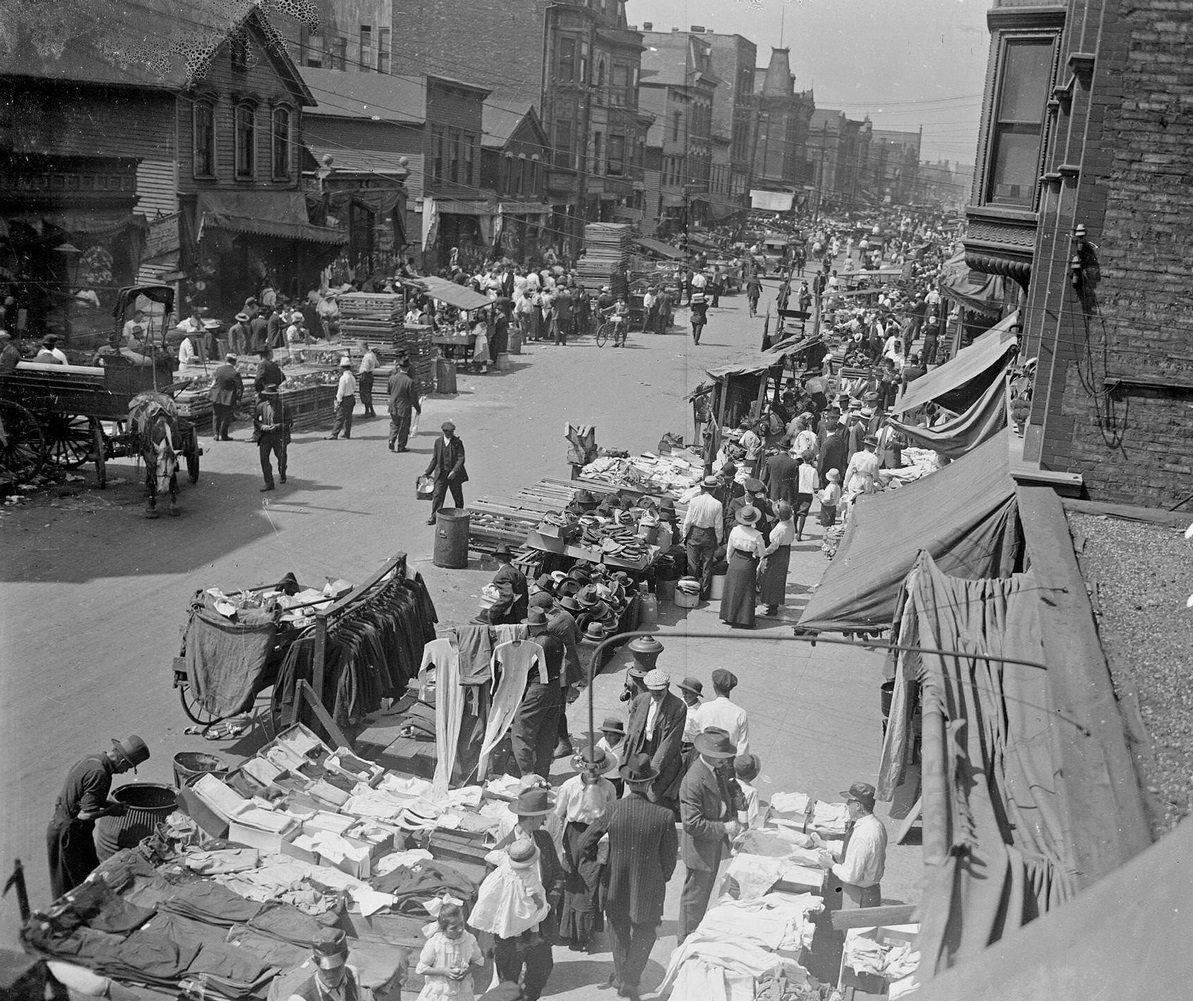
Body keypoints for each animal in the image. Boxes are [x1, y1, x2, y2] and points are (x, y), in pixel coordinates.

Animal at [129, 388, 180, 517]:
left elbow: (173, 478)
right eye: (158, 465)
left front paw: (173, 505)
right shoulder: (149, 456)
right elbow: (152, 476)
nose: (163, 491)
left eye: (174, 466)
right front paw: (151, 507)